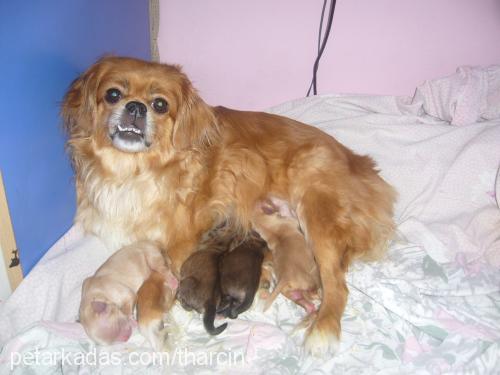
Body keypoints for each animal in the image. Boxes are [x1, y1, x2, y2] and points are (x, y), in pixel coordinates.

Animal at [62, 55, 396, 356]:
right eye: (113, 94)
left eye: (160, 105)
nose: (135, 107)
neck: (135, 170)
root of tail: (363, 167)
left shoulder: (177, 247)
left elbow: (148, 296)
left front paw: (159, 331)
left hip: (315, 208)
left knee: (337, 285)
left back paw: (322, 332)